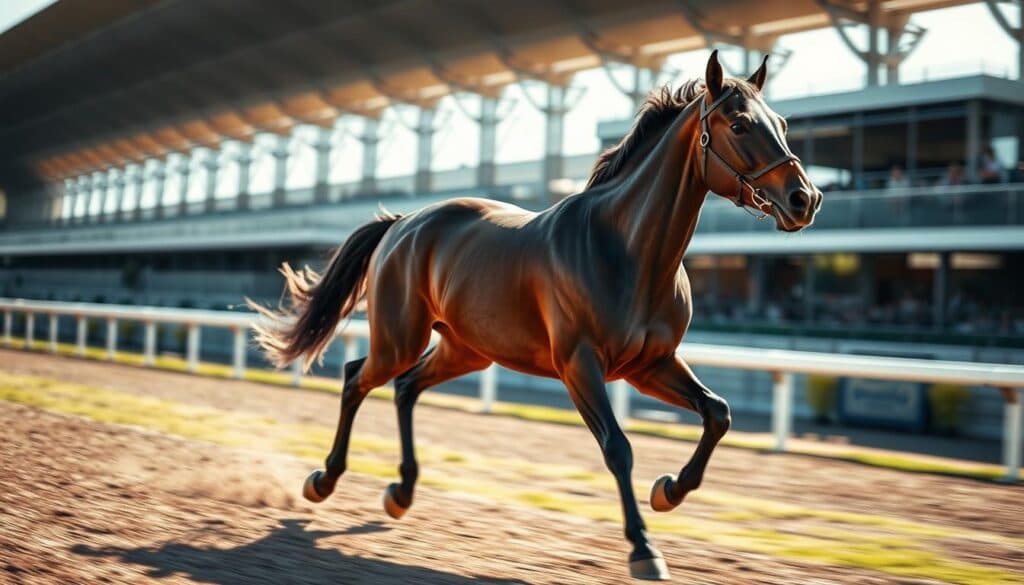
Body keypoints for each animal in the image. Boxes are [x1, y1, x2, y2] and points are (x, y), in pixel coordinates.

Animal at [250, 51, 821, 581]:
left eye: (782, 123)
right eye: (740, 124)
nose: (805, 199)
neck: (626, 251)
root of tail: (402, 223)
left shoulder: (650, 364)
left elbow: (717, 413)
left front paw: (669, 491)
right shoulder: (579, 366)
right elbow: (619, 448)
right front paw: (644, 549)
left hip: (467, 350)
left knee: (406, 387)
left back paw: (401, 491)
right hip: (400, 337)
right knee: (356, 379)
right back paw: (322, 480)